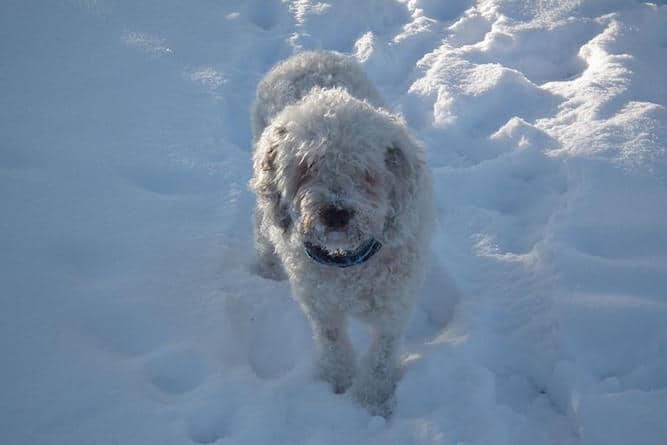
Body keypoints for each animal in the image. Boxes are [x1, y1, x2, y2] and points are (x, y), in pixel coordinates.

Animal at [250, 50, 434, 414]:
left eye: (366, 172)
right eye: (306, 166)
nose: (335, 213)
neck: (347, 263)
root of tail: (307, 55)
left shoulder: (394, 307)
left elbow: (380, 357)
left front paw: (371, 401)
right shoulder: (321, 305)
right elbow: (333, 343)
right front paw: (339, 383)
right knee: (263, 221)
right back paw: (266, 264)